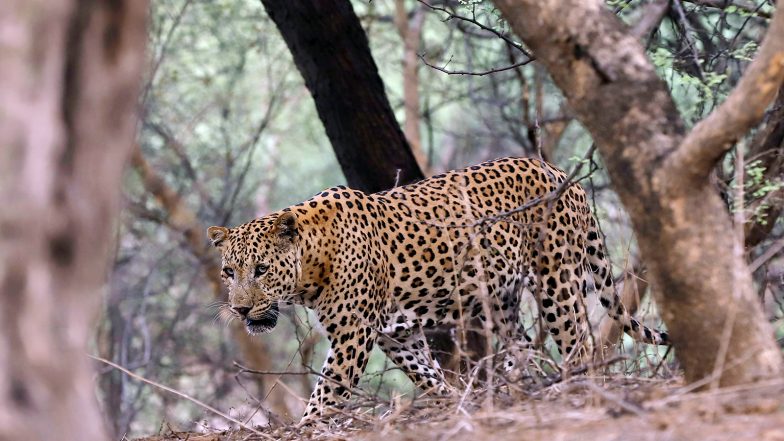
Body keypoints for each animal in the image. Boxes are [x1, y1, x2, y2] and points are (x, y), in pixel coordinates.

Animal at [207, 156, 668, 424]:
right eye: (229, 272)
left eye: (262, 270)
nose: (241, 310)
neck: (311, 265)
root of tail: (561, 174)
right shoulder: (395, 335)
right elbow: (427, 376)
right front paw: (451, 404)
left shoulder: (354, 334)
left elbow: (326, 395)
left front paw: (308, 429)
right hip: (500, 299)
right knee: (523, 347)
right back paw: (517, 388)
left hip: (556, 280)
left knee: (579, 344)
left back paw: (579, 392)